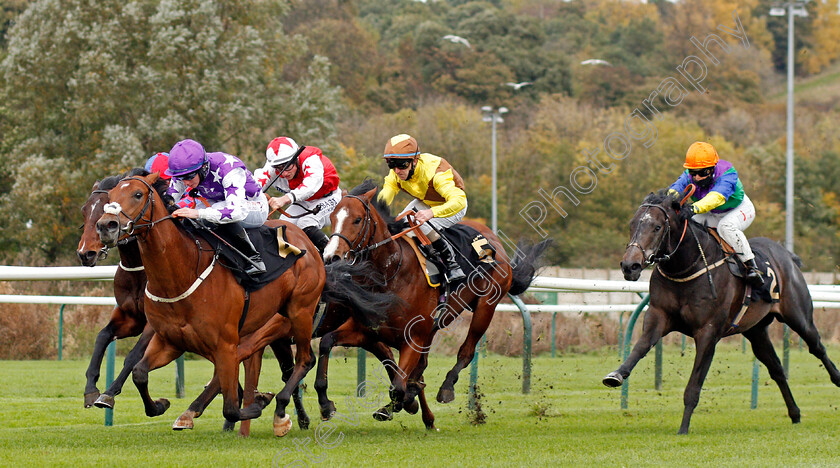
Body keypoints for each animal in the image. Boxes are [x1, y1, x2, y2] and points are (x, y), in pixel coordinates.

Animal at [318, 180, 548, 428]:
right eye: (332, 217)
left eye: (357, 219)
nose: (331, 257)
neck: (391, 273)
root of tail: (494, 242)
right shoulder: (366, 331)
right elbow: (326, 342)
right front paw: (326, 404)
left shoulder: (413, 339)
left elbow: (398, 386)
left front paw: (404, 402)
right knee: (422, 367)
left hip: (486, 307)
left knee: (466, 352)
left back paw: (446, 388)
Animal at [604, 188, 840, 434]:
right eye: (632, 224)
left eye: (657, 227)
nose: (630, 266)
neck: (686, 267)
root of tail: (787, 255)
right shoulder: (658, 315)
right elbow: (640, 347)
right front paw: (616, 375)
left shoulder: (708, 332)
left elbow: (693, 387)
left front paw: (683, 429)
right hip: (756, 330)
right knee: (776, 369)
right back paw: (794, 414)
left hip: (798, 315)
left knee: (817, 347)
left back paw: (837, 379)